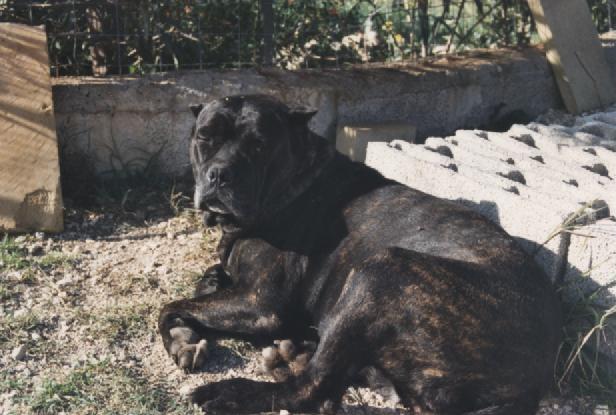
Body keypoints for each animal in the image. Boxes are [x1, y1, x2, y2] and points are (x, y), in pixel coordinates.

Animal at [158, 94, 562, 414]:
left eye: (259, 145)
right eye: (205, 137)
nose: (219, 174)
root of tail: (533, 378)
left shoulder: (261, 304)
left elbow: (169, 306)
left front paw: (181, 335)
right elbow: (205, 281)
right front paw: (189, 332)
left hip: (381, 272)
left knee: (312, 391)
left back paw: (234, 391)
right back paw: (294, 354)